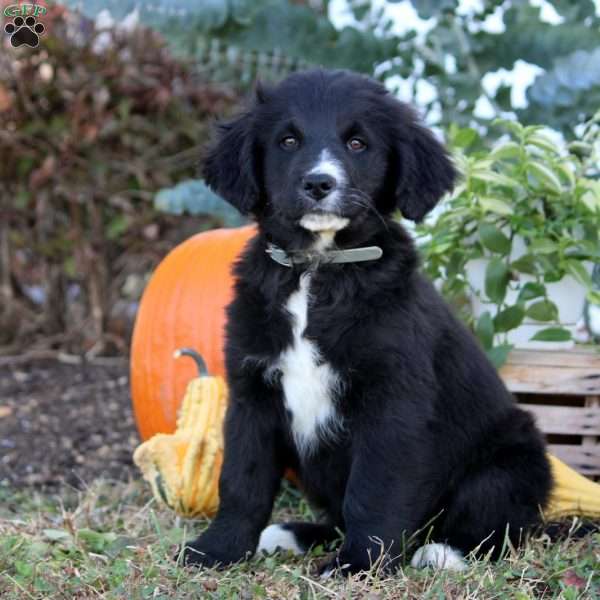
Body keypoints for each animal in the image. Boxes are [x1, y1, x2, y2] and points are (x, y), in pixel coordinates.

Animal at [180, 68, 552, 576]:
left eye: (358, 143)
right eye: (288, 140)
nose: (319, 183)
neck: (316, 272)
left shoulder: (392, 404)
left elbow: (372, 491)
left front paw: (359, 564)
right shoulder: (251, 394)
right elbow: (242, 482)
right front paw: (219, 550)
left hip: (510, 462)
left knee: (503, 524)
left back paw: (445, 550)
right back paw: (294, 534)